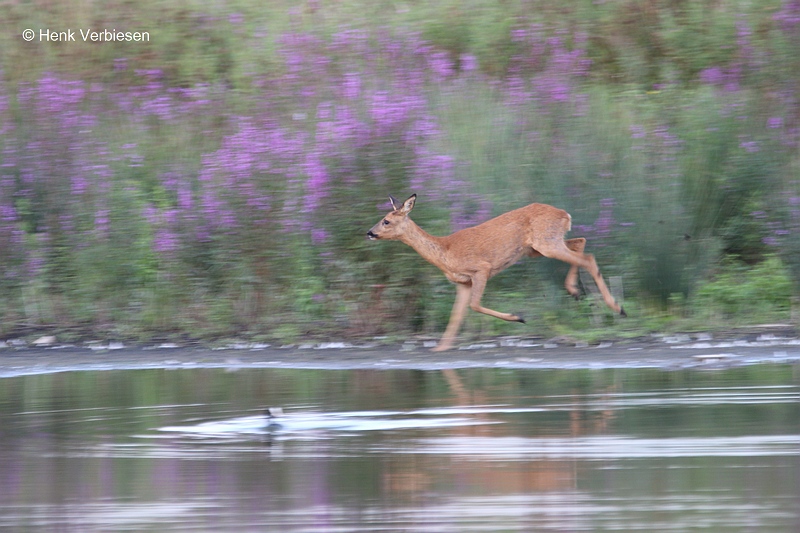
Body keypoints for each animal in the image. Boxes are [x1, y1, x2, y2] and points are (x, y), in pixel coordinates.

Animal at [368, 193, 624, 352]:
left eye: (386, 220)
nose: (369, 233)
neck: (445, 252)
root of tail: (565, 214)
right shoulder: (463, 283)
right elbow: (456, 315)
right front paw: (441, 348)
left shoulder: (482, 269)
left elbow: (474, 306)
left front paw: (518, 317)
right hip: (539, 248)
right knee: (581, 242)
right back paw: (575, 291)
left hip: (546, 243)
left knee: (588, 258)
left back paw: (617, 308)